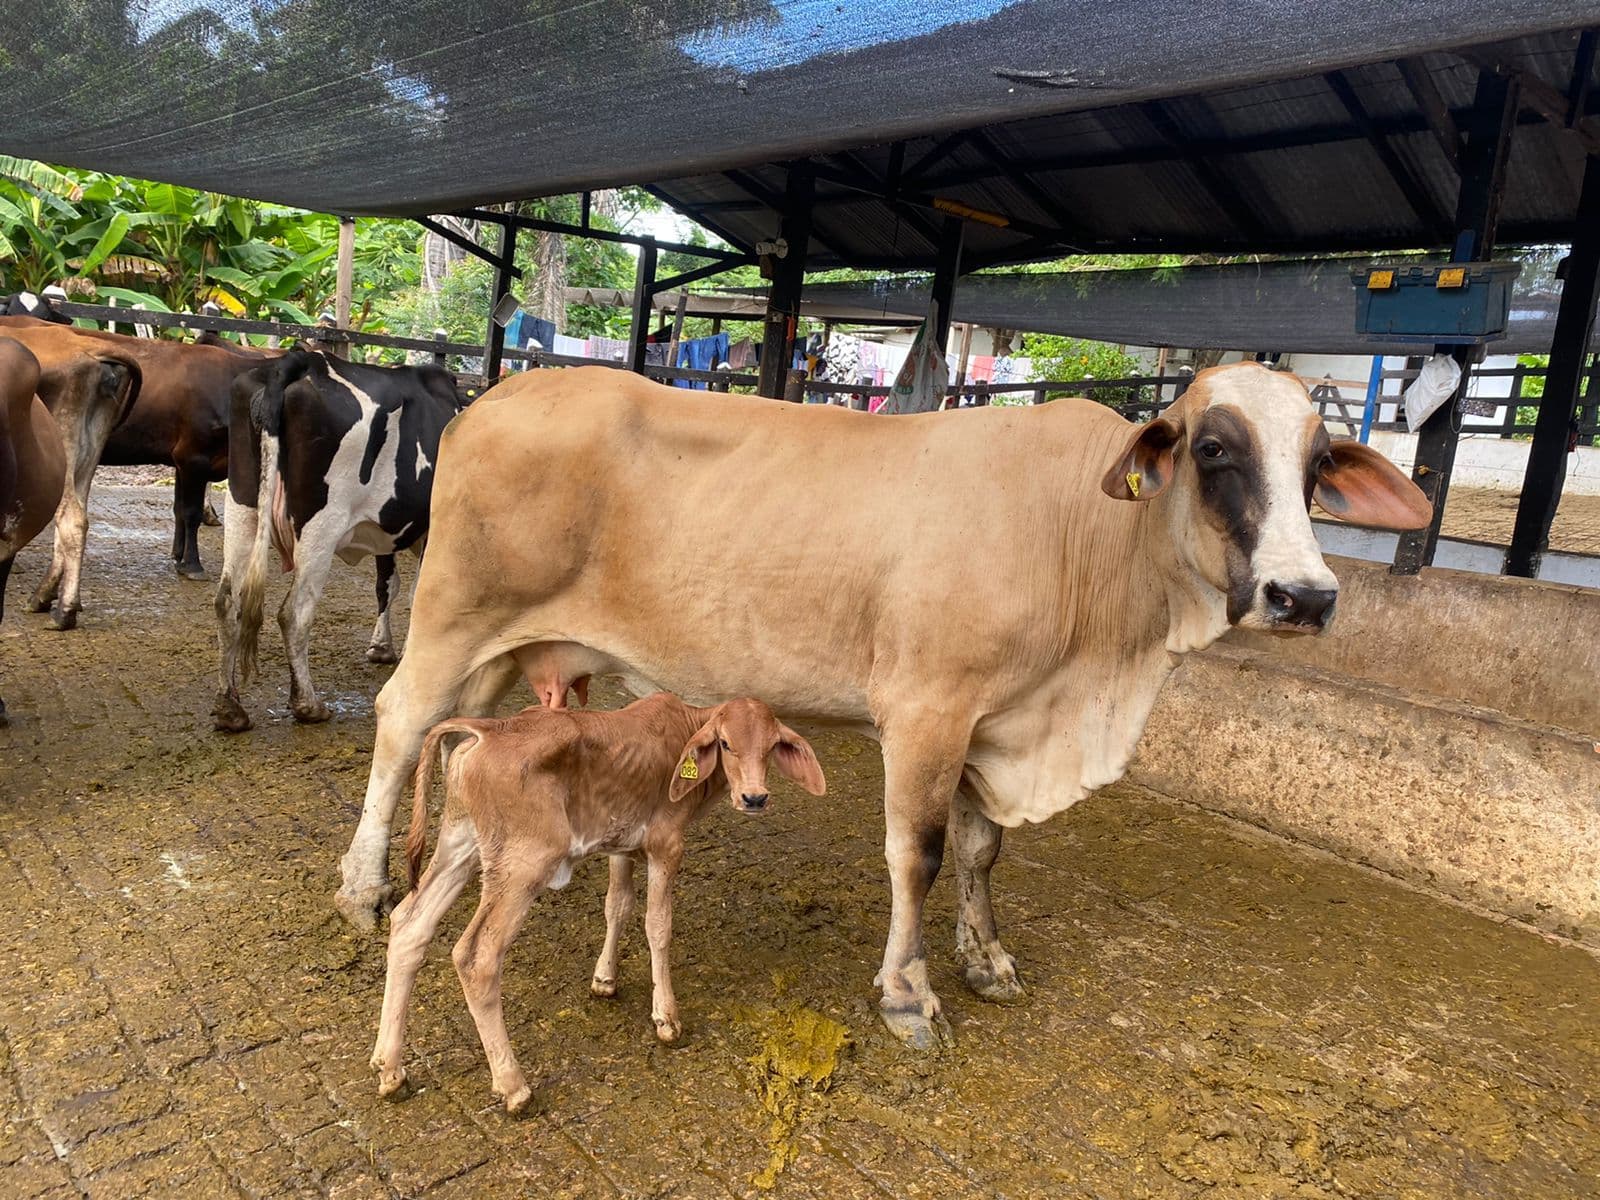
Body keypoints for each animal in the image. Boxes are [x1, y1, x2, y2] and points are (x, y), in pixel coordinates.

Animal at [213, 349, 465, 732]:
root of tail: (298, 361)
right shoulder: (425, 528)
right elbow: (417, 590)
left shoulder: (387, 529)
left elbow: (387, 584)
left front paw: (381, 647)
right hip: (321, 524)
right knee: (295, 613)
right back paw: (308, 705)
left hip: (242, 505)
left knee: (228, 602)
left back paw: (231, 709)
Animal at [333, 363, 1431, 1048]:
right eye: (1212, 449)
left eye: (1318, 462)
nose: (1305, 595)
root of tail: (492, 396)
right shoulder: (927, 709)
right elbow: (922, 853)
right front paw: (909, 992)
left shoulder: (996, 721)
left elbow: (984, 852)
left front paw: (986, 958)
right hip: (454, 613)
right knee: (398, 719)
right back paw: (361, 883)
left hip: (505, 652)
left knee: (451, 740)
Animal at [371, 693, 826, 1112]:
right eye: (726, 743)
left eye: (771, 746)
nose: (754, 798)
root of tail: (486, 730)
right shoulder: (666, 845)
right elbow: (658, 924)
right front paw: (666, 1017)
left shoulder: (621, 843)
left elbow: (617, 906)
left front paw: (605, 979)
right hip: (523, 865)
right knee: (476, 957)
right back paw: (514, 1086)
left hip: (461, 843)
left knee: (410, 925)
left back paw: (390, 1068)